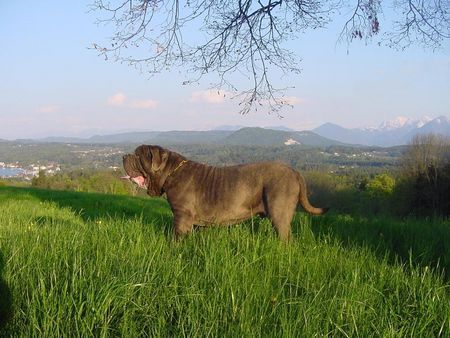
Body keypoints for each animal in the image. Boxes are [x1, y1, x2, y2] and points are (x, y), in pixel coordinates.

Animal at [122, 145, 326, 240]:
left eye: (138, 156)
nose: (125, 155)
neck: (171, 172)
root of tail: (294, 171)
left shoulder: (181, 216)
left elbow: (177, 237)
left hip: (279, 213)